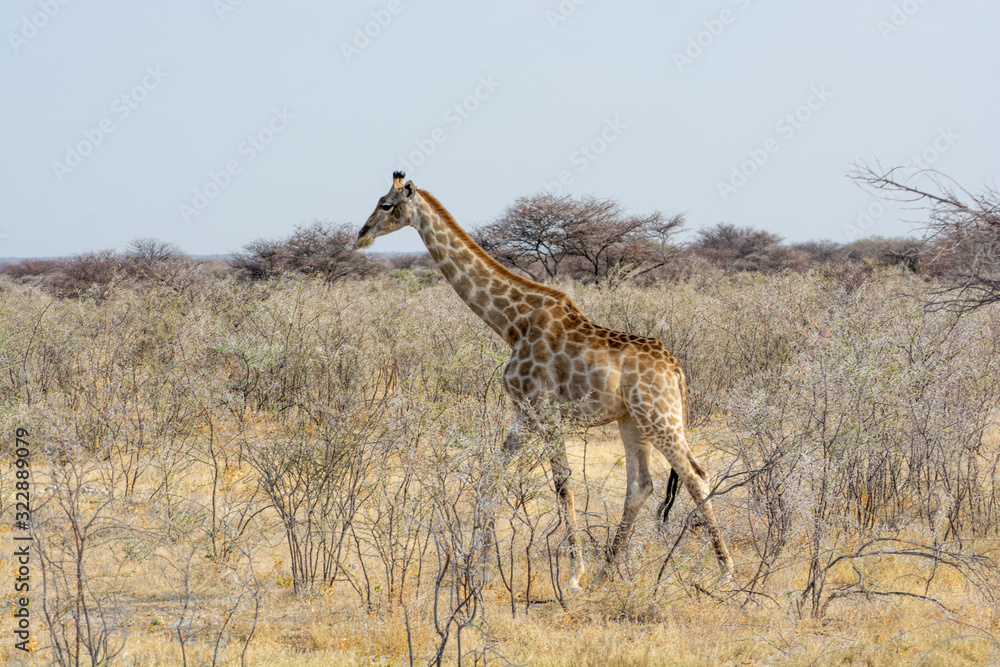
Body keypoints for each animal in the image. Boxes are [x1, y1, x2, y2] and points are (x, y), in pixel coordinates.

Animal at [356, 172, 734, 591]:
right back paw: (606, 572)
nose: (361, 235)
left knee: (695, 475)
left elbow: (563, 483)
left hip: (660, 416)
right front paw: (477, 569)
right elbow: (491, 476)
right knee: (641, 485)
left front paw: (573, 575)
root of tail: (677, 369)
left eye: (386, 205)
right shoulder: (523, 411)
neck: (511, 323)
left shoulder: (548, 410)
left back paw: (725, 570)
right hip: (632, 419)